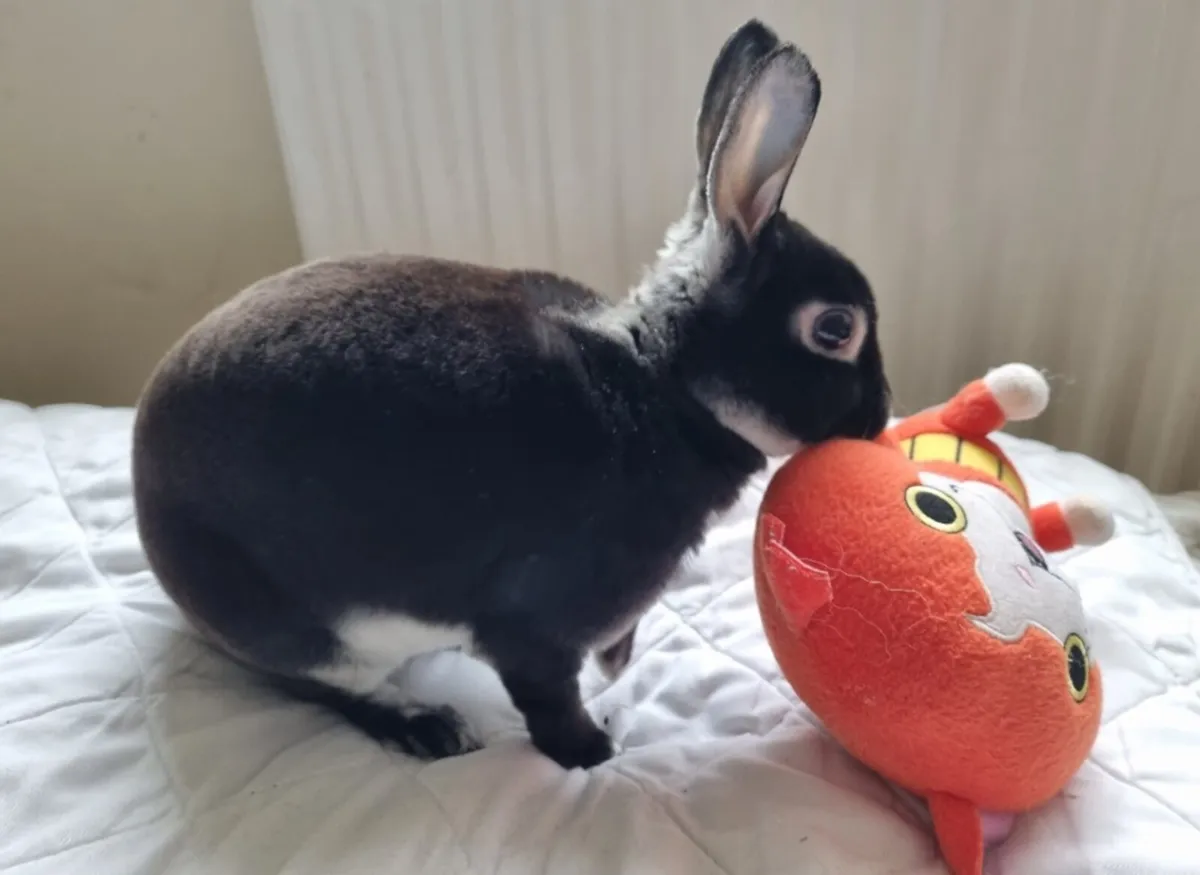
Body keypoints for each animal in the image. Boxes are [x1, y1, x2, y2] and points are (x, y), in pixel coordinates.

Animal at [132, 19, 890, 771]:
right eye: (835, 328)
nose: (882, 413)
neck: (664, 390)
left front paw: (616, 674)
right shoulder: (535, 625)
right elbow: (548, 699)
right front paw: (596, 751)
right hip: (312, 633)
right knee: (318, 686)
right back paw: (426, 726)